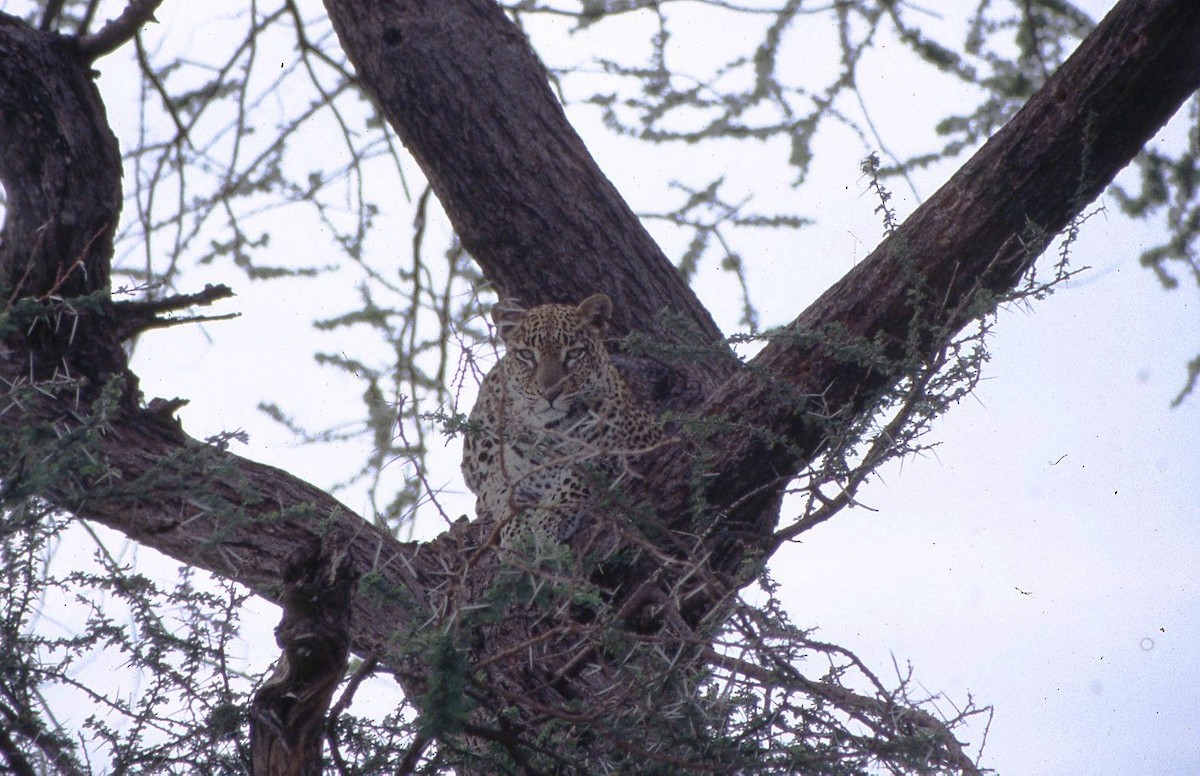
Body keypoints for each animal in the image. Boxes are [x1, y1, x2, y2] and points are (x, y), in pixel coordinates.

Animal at [461, 293, 661, 551]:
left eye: (574, 353)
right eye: (527, 355)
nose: (550, 393)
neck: (552, 430)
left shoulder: (633, 446)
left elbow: (576, 478)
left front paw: (548, 521)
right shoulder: (499, 476)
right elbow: (505, 496)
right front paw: (518, 533)